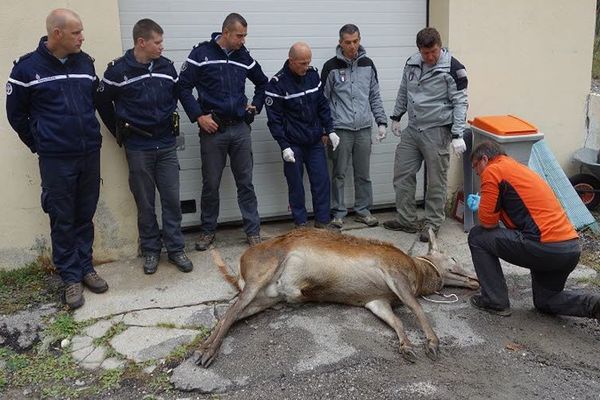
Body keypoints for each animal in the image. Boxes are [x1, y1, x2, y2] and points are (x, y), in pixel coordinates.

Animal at [197, 227, 478, 368]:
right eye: (453, 258)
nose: (476, 278)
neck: (418, 275)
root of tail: (241, 267)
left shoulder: (376, 301)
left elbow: (396, 321)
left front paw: (407, 347)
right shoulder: (394, 274)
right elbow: (417, 308)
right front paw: (432, 343)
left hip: (267, 298)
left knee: (229, 315)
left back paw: (202, 348)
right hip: (260, 275)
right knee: (231, 311)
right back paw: (208, 353)